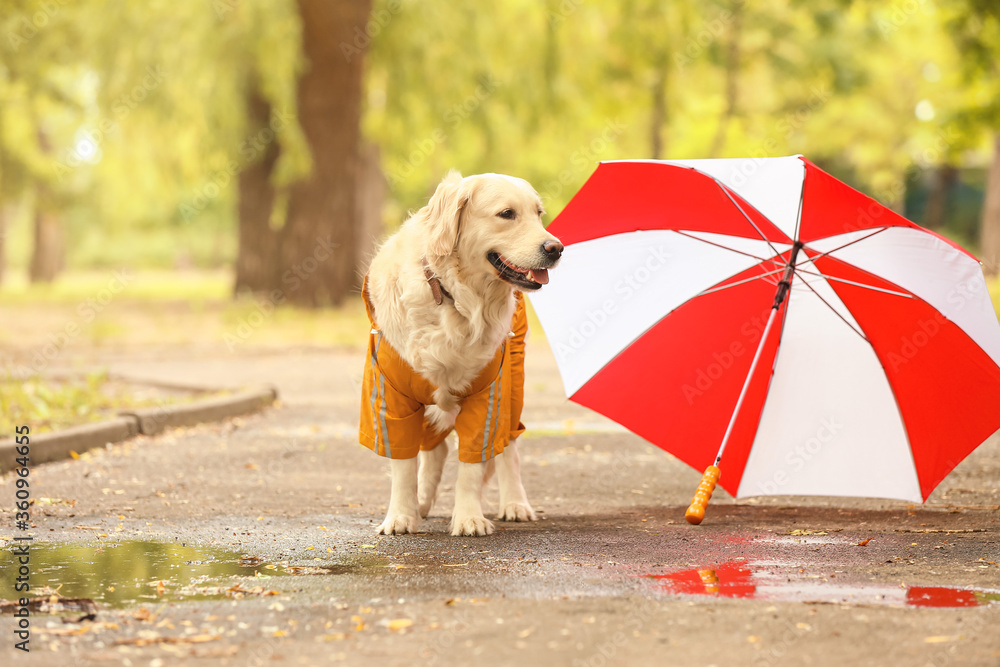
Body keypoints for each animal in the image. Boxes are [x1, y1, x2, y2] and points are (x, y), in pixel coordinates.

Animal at [362, 172, 568, 536]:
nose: (555, 248)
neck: (455, 296)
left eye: (538, 213)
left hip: (514, 382)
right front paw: (400, 515)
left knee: (509, 447)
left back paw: (515, 503)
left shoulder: (489, 392)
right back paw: (422, 502)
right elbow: (402, 463)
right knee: (435, 448)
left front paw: (469, 517)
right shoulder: (391, 391)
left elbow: (473, 464)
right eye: (507, 214)